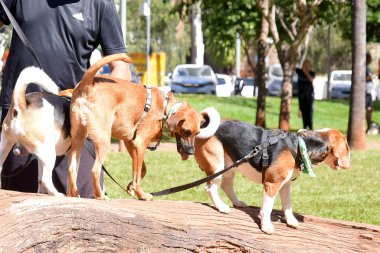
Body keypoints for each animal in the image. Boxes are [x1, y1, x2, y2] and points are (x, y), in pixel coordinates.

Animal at [0, 67, 72, 196]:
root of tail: (22, 106)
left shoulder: (40, 156)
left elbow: (39, 178)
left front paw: (41, 192)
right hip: (49, 153)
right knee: (46, 179)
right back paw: (56, 194)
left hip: (6, 145)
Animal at [67, 53, 220, 200]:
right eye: (186, 131)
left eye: (197, 133)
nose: (191, 152)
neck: (166, 109)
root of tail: (88, 83)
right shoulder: (140, 144)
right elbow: (138, 174)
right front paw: (141, 194)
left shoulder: (131, 143)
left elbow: (141, 170)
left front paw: (131, 187)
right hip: (104, 141)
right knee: (95, 170)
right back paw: (100, 196)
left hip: (78, 139)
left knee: (72, 169)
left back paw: (73, 195)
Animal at [194, 121, 352, 234]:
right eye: (347, 147)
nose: (351, 156)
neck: (300, 146)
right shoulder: (272, 184)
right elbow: (267, 209)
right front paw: (266, 226)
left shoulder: (286, 184)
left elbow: (287, 205)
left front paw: (291, 221)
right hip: (217, 165)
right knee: (210, 188)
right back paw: (221, 207)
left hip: (230, 166)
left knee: (226, 186)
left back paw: (237, 203)